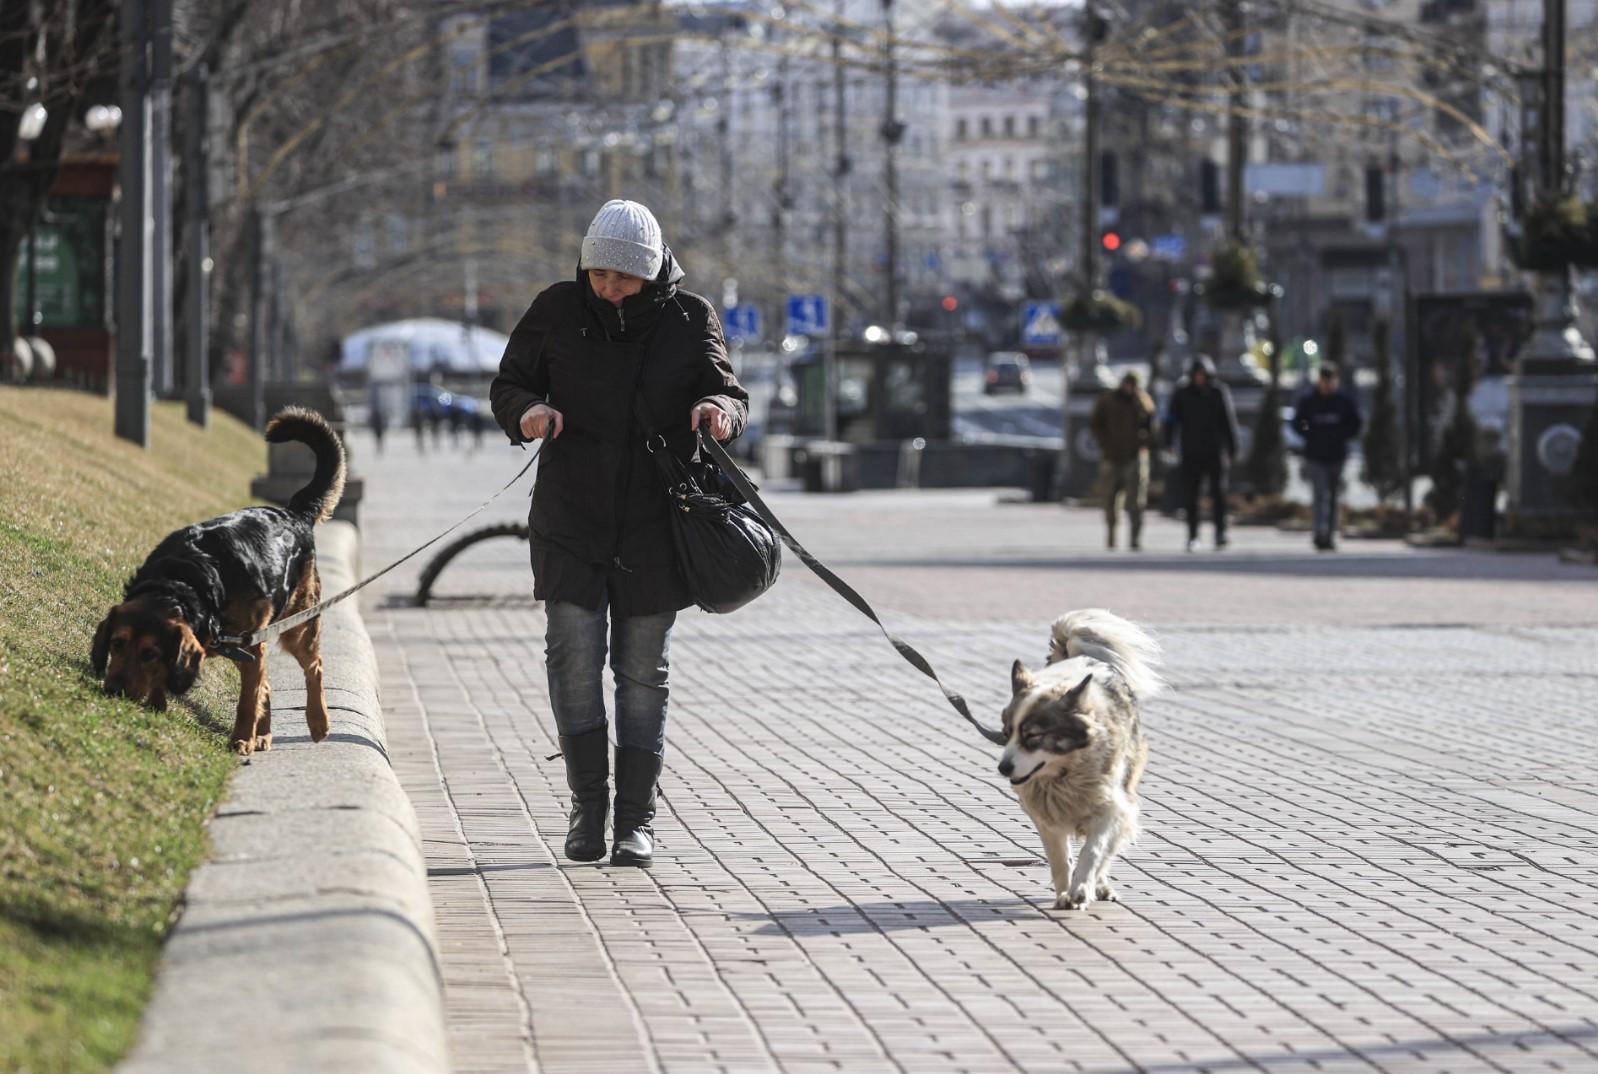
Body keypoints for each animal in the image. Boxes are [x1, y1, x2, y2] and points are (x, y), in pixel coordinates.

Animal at [91, 407, 346, 751]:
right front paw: (157, 705)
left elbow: (247, 700)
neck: (184, 581)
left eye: (148, 653)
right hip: (240, 644)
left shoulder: (251, 646)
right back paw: (264, 734)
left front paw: (240, 739)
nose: (112, 690)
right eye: (117, 644)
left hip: (296, 627)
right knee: (267, 686)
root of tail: (294, 514)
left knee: (313, 667)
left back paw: (317, 722)